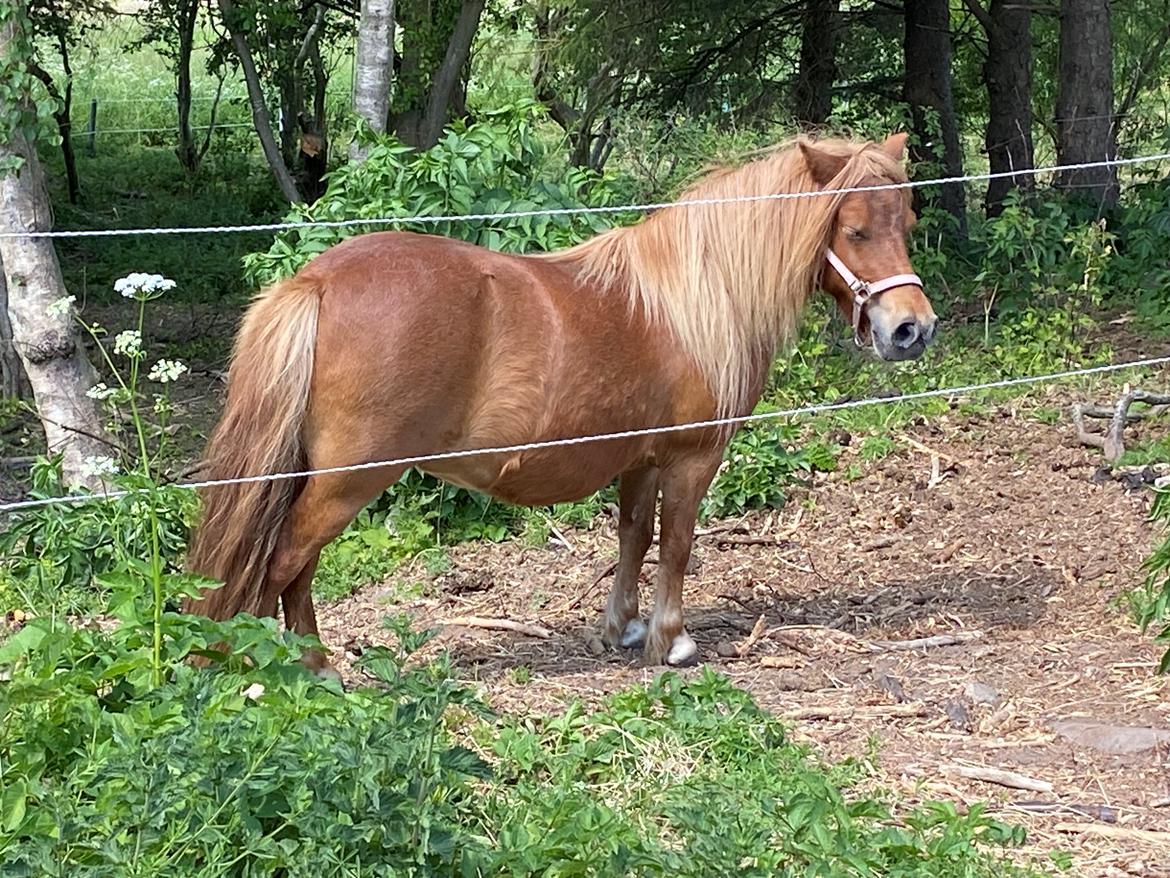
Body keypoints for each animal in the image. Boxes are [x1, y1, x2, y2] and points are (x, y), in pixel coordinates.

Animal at [187, 130, 935, 669]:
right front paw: (670, 640)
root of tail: (314, 281)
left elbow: (634, 536)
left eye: (907, 220)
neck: (693, 296)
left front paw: (621, 628)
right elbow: (679, 543)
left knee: (294, 569)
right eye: (853, 229)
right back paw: (293, 668)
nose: (912, 329)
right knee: (286, 564)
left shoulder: (638, 458)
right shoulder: (691, 458)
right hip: (347, 480)